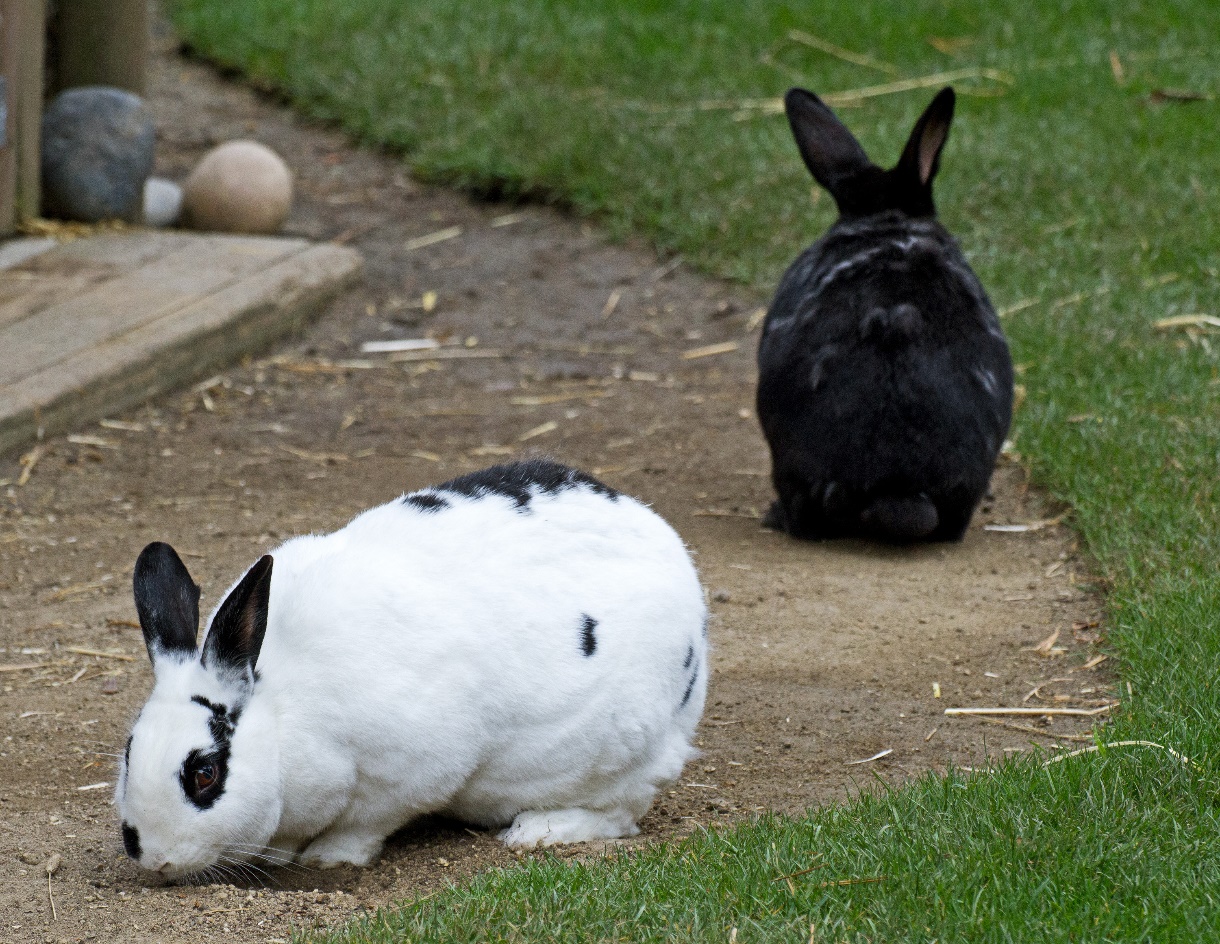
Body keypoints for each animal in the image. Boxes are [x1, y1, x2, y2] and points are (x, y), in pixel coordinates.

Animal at [116, 458, 708, 880]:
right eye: (128, 749)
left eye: (205, 773)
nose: (152, 856)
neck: (285, 716)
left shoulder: (409, 774)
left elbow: (365, 826)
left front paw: (326, 858)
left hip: (625, 753)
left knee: (622, 814)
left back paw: (536, 831)